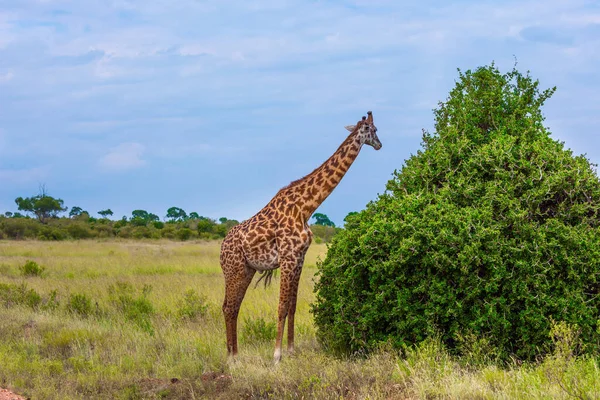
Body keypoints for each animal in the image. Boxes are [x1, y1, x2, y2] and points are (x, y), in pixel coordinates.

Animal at [219, 109, 380, 362]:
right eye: (373, 130)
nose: (380, 145)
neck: (306, 207)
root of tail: (221, 248)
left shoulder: (299, 259)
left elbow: (292, 306)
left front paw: (291, 351)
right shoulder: (288, 258)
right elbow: (282, 306)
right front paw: (276, 355)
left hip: (246, 270)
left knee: (233, 306)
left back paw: (236, 354)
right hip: (233, 269)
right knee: (228, 307)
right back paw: (231, 359)